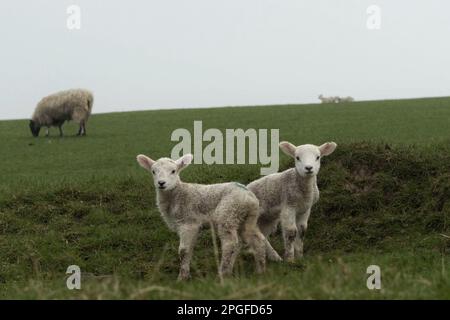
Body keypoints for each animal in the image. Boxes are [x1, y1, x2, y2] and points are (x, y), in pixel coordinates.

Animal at [135, 153, 266, 280]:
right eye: (153, 171)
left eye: (173, 171)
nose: (161, 183)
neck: (177, 195)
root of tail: (249, 197)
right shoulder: (192, 226)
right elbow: (189, 249)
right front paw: (186, 274)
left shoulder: (188, 223)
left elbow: (183, 250)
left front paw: (181, 278)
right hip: (247, 218)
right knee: (258, 239)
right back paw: (260, 271)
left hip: (228, 213)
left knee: (230, 243)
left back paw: (223, 274)